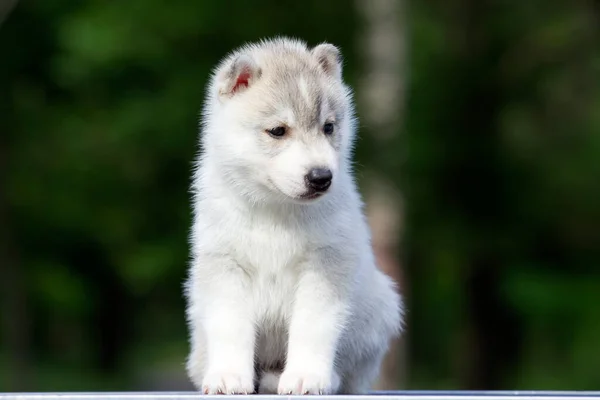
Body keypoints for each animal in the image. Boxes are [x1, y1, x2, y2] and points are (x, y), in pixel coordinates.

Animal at [185, 36, 406, 394]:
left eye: (328, 127)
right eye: (278, 131)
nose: (321, 177)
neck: (276, 209)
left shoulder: (326, 265)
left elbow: (313, 326)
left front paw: (307, 377)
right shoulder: (225, 265)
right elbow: (230, 326)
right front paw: (229, 376)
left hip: (378, 311)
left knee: (351, 375)